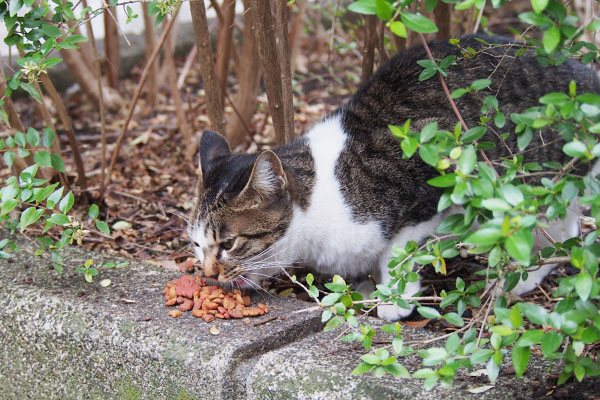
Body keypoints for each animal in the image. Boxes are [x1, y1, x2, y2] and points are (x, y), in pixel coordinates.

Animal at [188, 34, 600, 322]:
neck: (321, 198)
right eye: (195, 244)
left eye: (228, 244)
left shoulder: (434, 187)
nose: (207, 274)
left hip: (528, 184)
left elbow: (398, 251)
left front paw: (393, 298)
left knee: (557, 232)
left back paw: (525, 278)